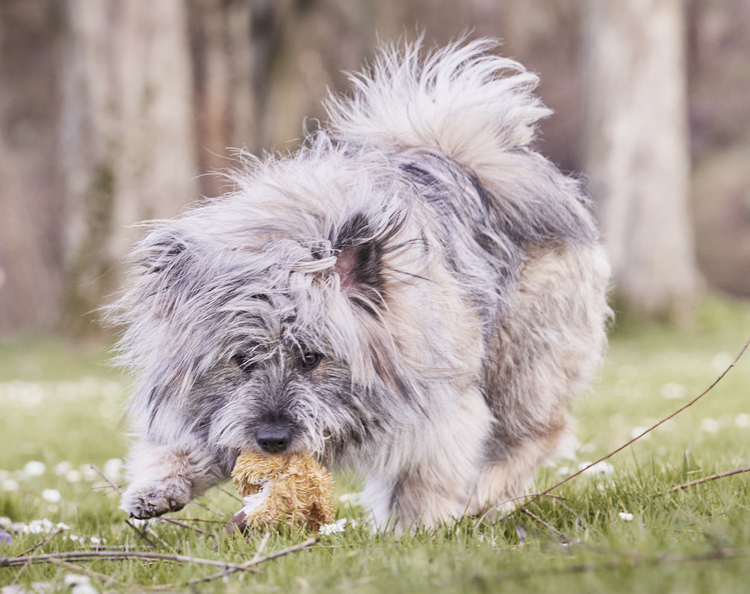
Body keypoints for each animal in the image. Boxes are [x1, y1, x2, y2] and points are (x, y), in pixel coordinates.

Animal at [110, 40, 612, 532]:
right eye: (241, 361)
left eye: (312, 358)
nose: (272, 437)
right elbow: (191, 436)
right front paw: (159, 483)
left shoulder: (440, 411)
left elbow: (423, 478)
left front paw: (412, 532)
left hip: (522, 359)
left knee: (534, 434)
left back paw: (483, 494)